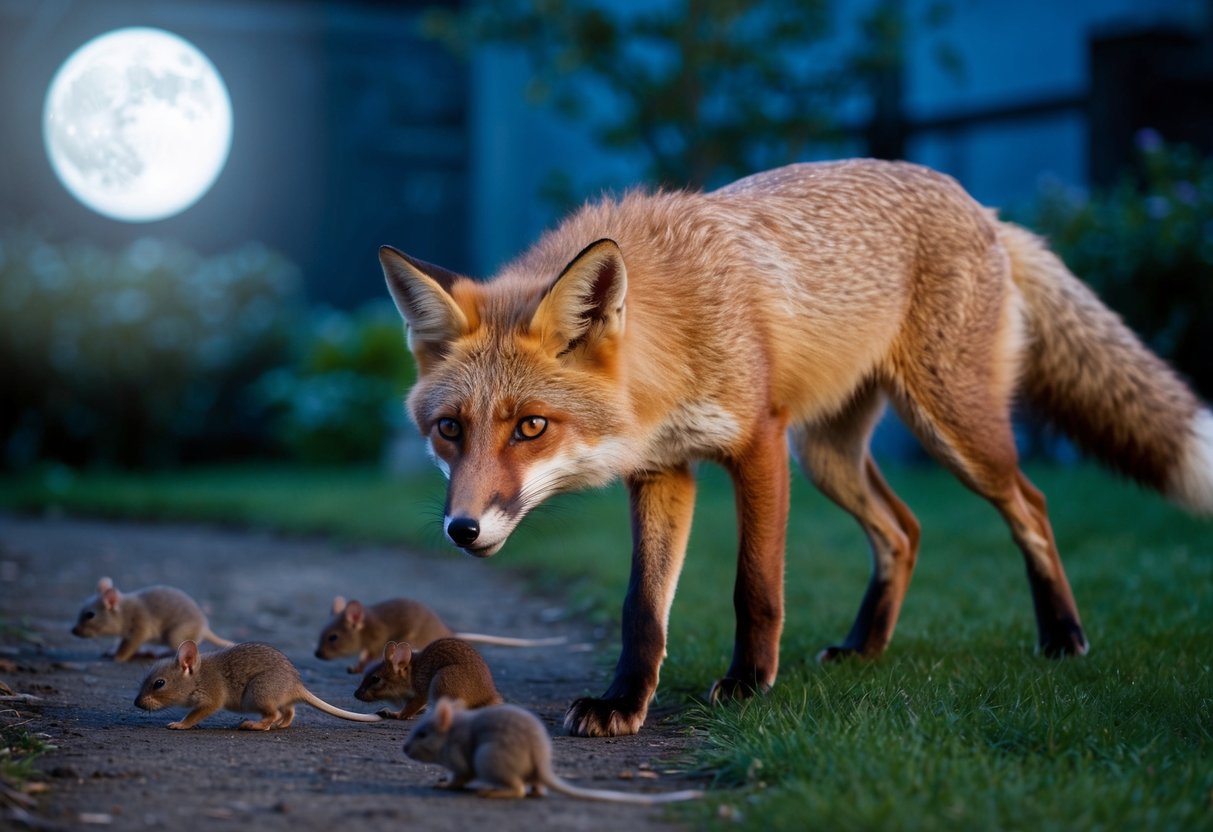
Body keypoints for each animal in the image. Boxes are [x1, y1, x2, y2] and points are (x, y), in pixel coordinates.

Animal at [378, 158, 1213, 738]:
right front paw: (623, 701)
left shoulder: (758, 443)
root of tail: (979, 205)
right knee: (904, 530)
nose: (462, 529)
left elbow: (755, 586)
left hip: (952, 431)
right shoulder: (663, 469)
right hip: (830, 456)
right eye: (449, 429)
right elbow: (642, 606)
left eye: (530, 427)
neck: (675, 326)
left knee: (1030, 505)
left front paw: (748, 685)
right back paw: (863, 646)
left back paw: (1062, 634)